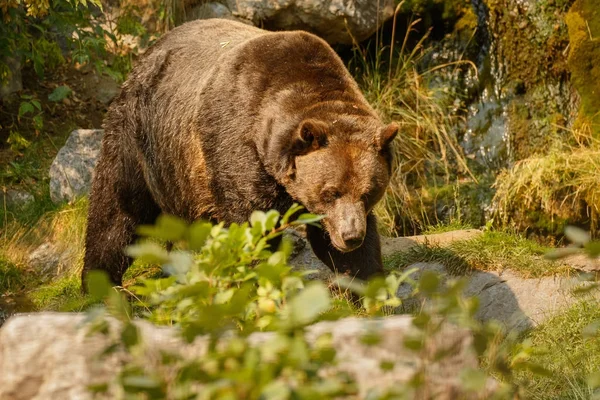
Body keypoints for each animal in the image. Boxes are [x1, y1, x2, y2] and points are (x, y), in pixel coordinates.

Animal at [81, 18, 398, 288]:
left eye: (370, 192)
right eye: (330, 192)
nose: (351, 236)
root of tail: (149, 51)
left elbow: (344, 248)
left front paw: (365, 283)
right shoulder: (237, 146)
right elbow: (251, 224)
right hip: (143, 138)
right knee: (117, 209)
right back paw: (100, 282)